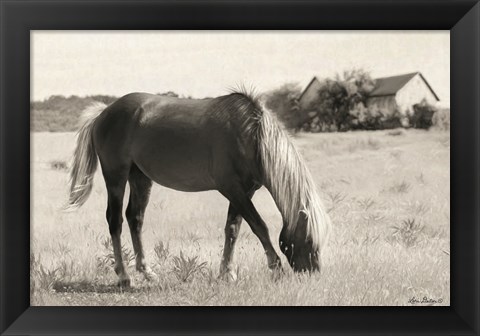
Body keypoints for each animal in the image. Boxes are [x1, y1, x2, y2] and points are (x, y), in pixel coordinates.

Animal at [66, 90, 330, 284]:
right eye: (308, 239)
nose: (313, 273)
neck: (251, 136)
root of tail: (103, 113)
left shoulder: (244, 191)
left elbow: (232, 229)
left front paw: (227, 272)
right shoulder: (232, 189)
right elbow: (259, 226)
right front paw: (275, 267)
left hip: (140, 177)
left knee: (135, 218)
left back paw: (146, 271)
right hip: (116, 176)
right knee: (115, 221)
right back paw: (124, 276)